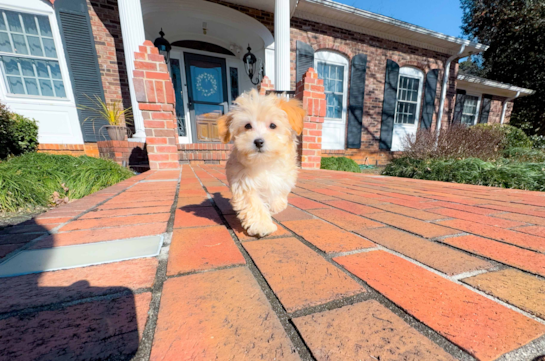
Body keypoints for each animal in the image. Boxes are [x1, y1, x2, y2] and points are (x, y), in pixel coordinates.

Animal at [217, 89, 304, 236]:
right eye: (247, 126)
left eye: (273, 125)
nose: (258, 141)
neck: (264, 162)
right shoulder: (244, 183)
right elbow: (253, 204)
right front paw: (262, 226)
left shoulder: (283, 179)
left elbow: (278, 195)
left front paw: (276, 206)